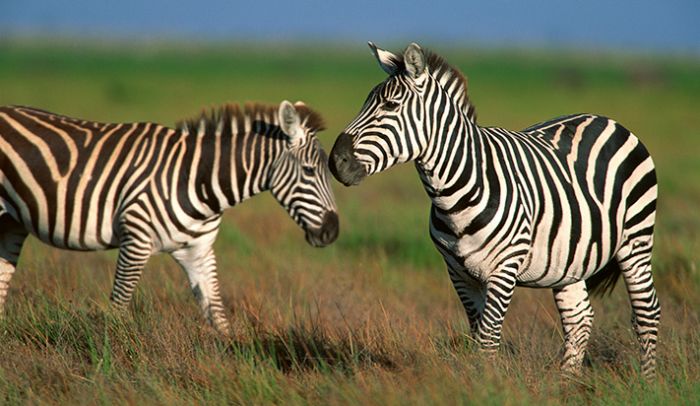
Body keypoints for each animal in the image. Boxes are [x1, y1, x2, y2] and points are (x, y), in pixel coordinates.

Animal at [0, 100, 340, 334]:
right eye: (310, 171)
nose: (332, 232)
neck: (197, 179)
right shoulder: (135, 241)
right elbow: (118, 308)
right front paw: (108, 364)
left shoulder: (198, 252)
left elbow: (218, 316)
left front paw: (237, 361)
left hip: (11, 224)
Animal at [330, 42, 660, 380]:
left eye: (391, 105)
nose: (335, 161)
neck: (456, 192)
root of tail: (606, 119)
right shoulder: (458, 272)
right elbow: (477, 334)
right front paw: (479, 380)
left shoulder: (504, 268)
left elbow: (488, 337)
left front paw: (487, 384)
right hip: (570, 259)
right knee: (579, 317)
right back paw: (567, 382)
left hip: (636, 240)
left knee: (647, 311)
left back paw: (647, 381)